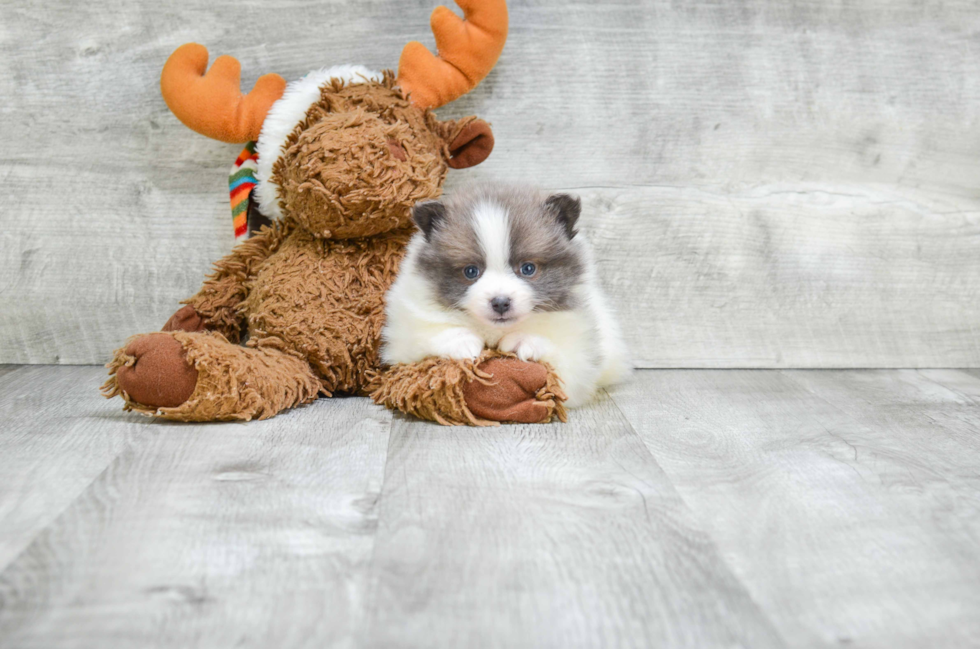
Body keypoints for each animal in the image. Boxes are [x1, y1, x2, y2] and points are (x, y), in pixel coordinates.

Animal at [378, 182, 632, 404]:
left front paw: (525, 340)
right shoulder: (401, 340)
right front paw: (461, 340)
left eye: (528, 268)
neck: (494, 331)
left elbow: (563, 367)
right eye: (471, 271)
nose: (500, 302)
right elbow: (425, 338)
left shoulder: (580, 359)